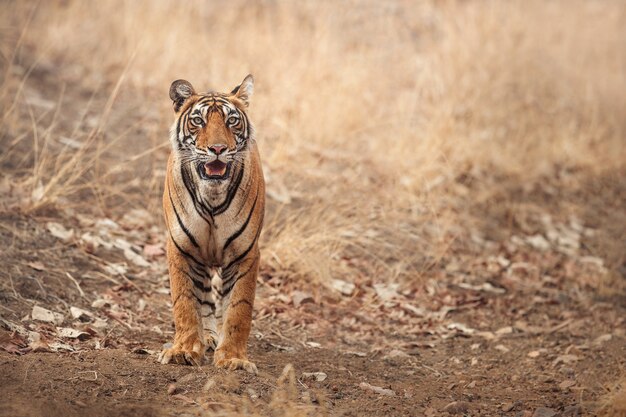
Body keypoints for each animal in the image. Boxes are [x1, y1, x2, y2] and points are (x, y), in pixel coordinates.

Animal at [157, 75, 264, 374]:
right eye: (198, 120)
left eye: (232, 121)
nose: (217, 149)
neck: (212, 196)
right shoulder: (181, 248)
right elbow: (185, 303)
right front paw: (183, 351)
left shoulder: (245, 254)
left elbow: (239, 308)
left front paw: (234, 359)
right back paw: (206, 337)